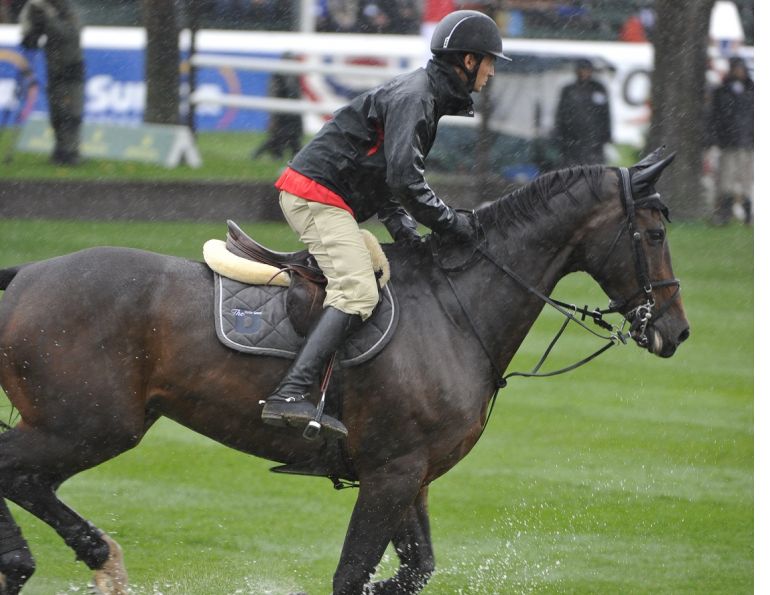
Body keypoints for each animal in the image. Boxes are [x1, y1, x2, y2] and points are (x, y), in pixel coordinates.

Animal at [0, 150, 689, 594]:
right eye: (655, 232)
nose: (676, 331)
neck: (454, 308)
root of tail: (26, 274)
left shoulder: (409, 475)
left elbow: (411, 571)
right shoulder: (391, 473)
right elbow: (354, 573)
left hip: (84, 427)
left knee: (27, 479)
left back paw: (60, 558)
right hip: (88, 426)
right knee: (18, 473)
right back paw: (60, 558)